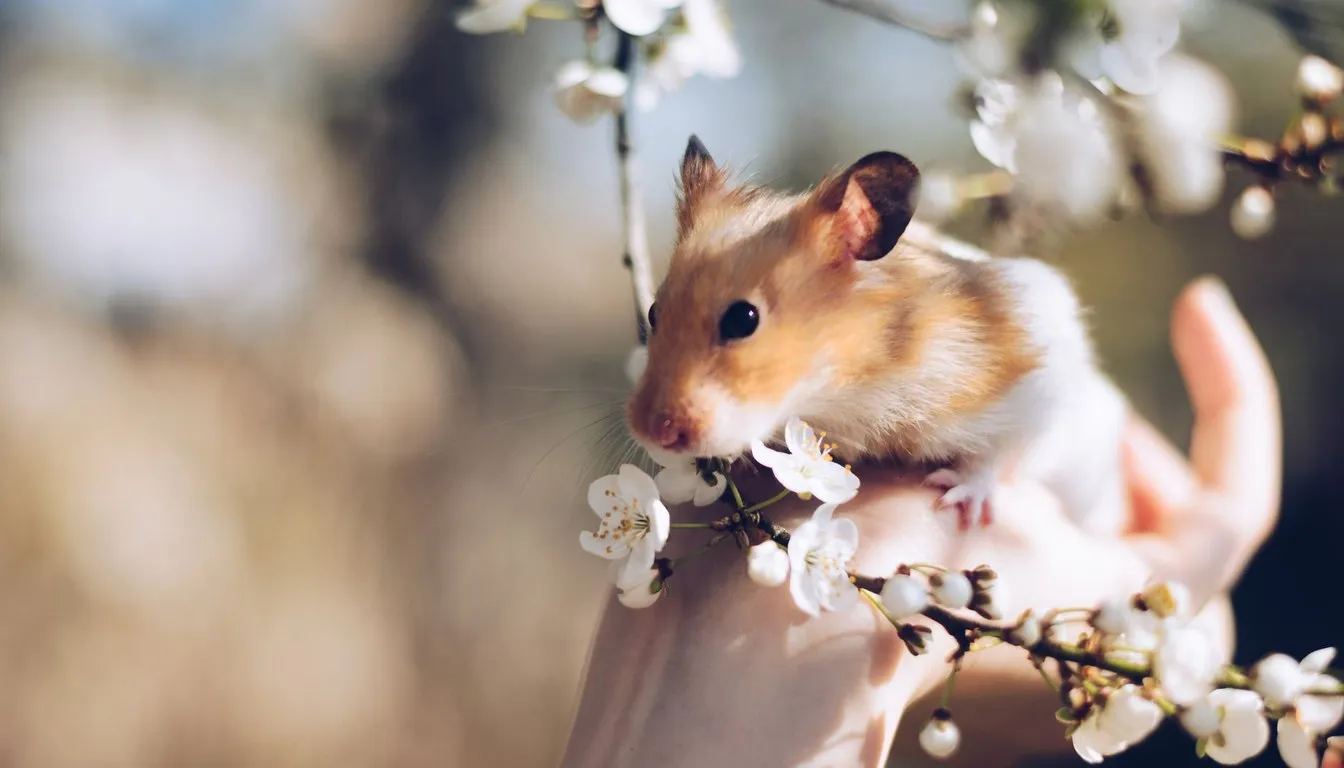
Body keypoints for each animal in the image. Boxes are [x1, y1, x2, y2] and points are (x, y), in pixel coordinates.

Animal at [625, 135, 1128, 535]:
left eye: (742, 319)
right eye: (653, 312)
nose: (652, 432)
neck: (849, 383)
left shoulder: (1038, 382)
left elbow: (999, 454)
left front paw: (957, 499)